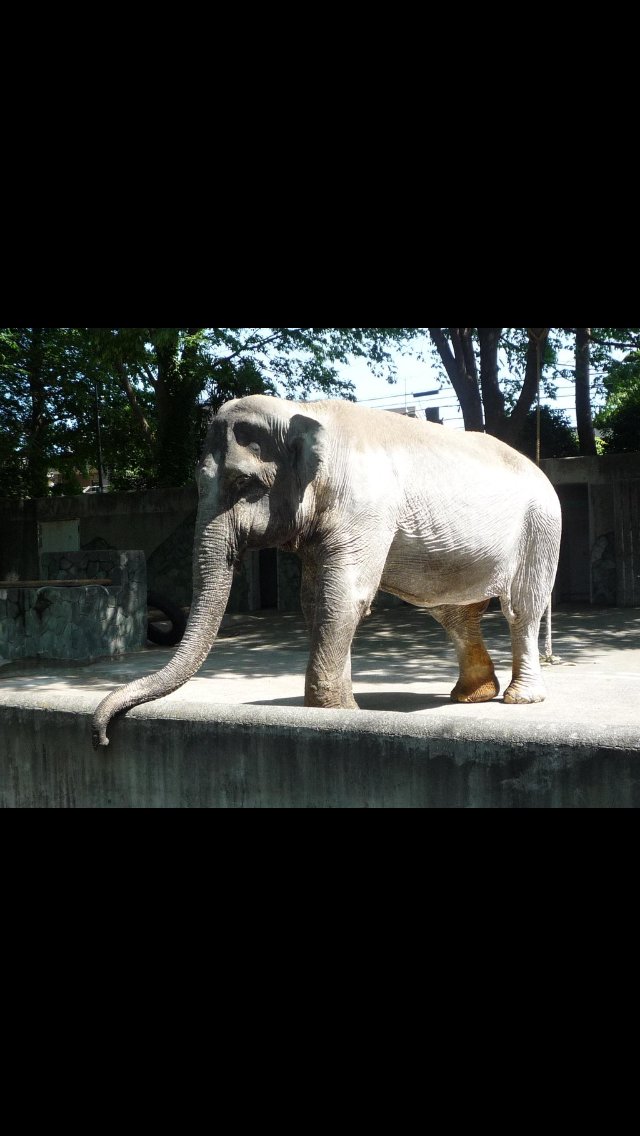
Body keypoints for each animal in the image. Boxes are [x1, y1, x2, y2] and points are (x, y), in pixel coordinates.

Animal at [90, 395, 561, 749]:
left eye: (244, 484)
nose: (102, 738)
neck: (301, 411)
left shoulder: (364, 508)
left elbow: (346, 594)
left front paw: (335, 713)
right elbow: (314, 598)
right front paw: (340, 709)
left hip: (540, 529)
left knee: (521, 609)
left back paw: (518, 701)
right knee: (454, 613)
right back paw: (470, 696)